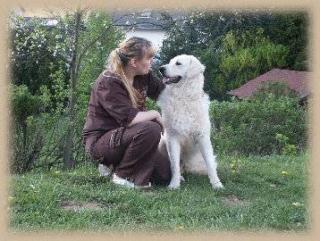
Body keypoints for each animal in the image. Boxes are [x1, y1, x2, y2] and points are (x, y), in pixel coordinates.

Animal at [157, 54, 222, 190]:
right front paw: (174, 184)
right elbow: (174, 165)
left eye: (178, 63)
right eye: (170, 62)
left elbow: (210, 163)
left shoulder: (202, 137)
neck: (183, 97)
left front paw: (217, 184)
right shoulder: (172, 138)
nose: (161, 69)